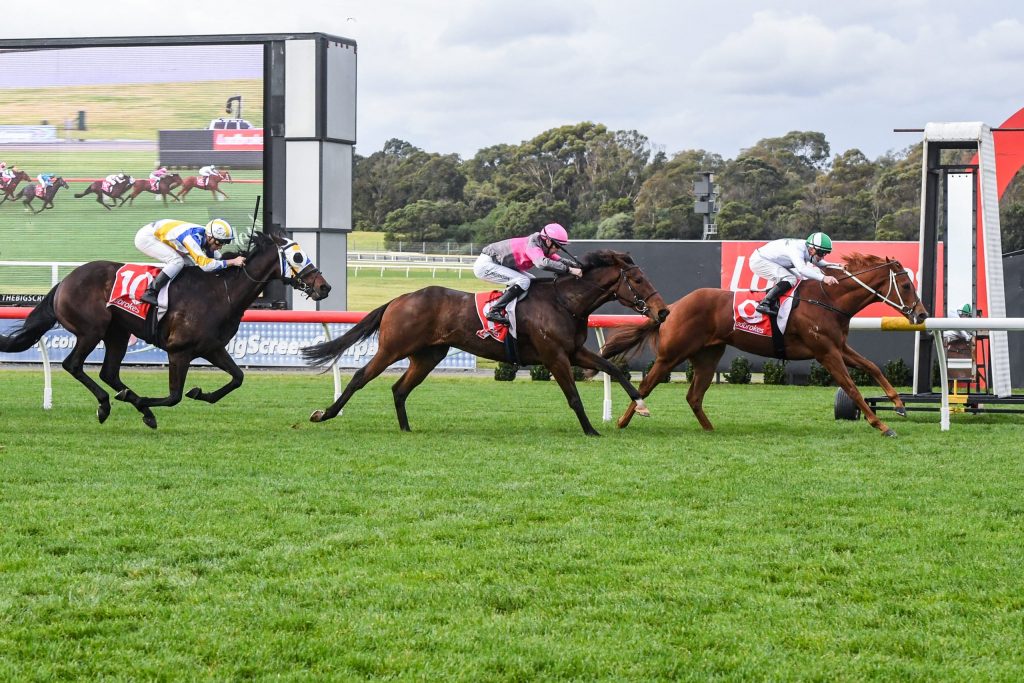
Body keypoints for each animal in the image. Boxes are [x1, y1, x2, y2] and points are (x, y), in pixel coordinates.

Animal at [0, 230, 331, 429]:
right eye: (298, 256)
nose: (324, 287)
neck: (221, 292)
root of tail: (65, 281)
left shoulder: (212, 348)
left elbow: (237, 378)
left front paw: (201, 393)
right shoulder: (179, 351)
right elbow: (174, 396)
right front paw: (146, 405)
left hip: (118, 334)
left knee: (109, 373)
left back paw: (125, 401)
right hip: (91, 330)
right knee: (73, 365)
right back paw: (107, 405)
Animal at [302, 250, 670, 436]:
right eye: (638, 280)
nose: (663, 311)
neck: (564, 302)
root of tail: (399, 299)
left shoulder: (575, 351)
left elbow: (613, 368)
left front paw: (641, 405)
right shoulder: (554, 356)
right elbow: (573, 397)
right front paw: (591, 430)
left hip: (429, 355)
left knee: (400, 389)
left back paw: (407, 428)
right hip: (394, 348)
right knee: (359, 377)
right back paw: (325, 414)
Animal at [600, 253, 930, 437]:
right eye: (905, 285)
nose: (922, 314)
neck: (828, 299)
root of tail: (672, 307)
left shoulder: (839, 347)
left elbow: (872, 367)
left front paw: (899, 405)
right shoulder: (826, 353)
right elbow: (851, 387)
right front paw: (882, 425)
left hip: (708, 356)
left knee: (694, 396)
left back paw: (709, 429)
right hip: (671, 355)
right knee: (646, 386)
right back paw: (622, 422)